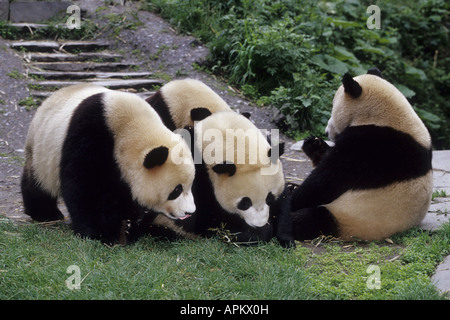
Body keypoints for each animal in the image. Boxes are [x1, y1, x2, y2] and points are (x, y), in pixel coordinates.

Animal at [22, 84, 196, 244]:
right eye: (177, 190)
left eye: (190, 186)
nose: (189, 212)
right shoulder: (89, 134)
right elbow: (82, 186)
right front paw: (96, 233)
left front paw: (127, 227)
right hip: (42, 149)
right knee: (38, 183)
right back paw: (46, 213)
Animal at [286, 68, 434, 242]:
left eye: (333, 107)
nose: (327, 132)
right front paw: (314, 144)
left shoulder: (373, 147)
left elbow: (327, 181)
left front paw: (291, 199)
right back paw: (289, 187)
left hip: (352, 218)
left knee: (314, 219)